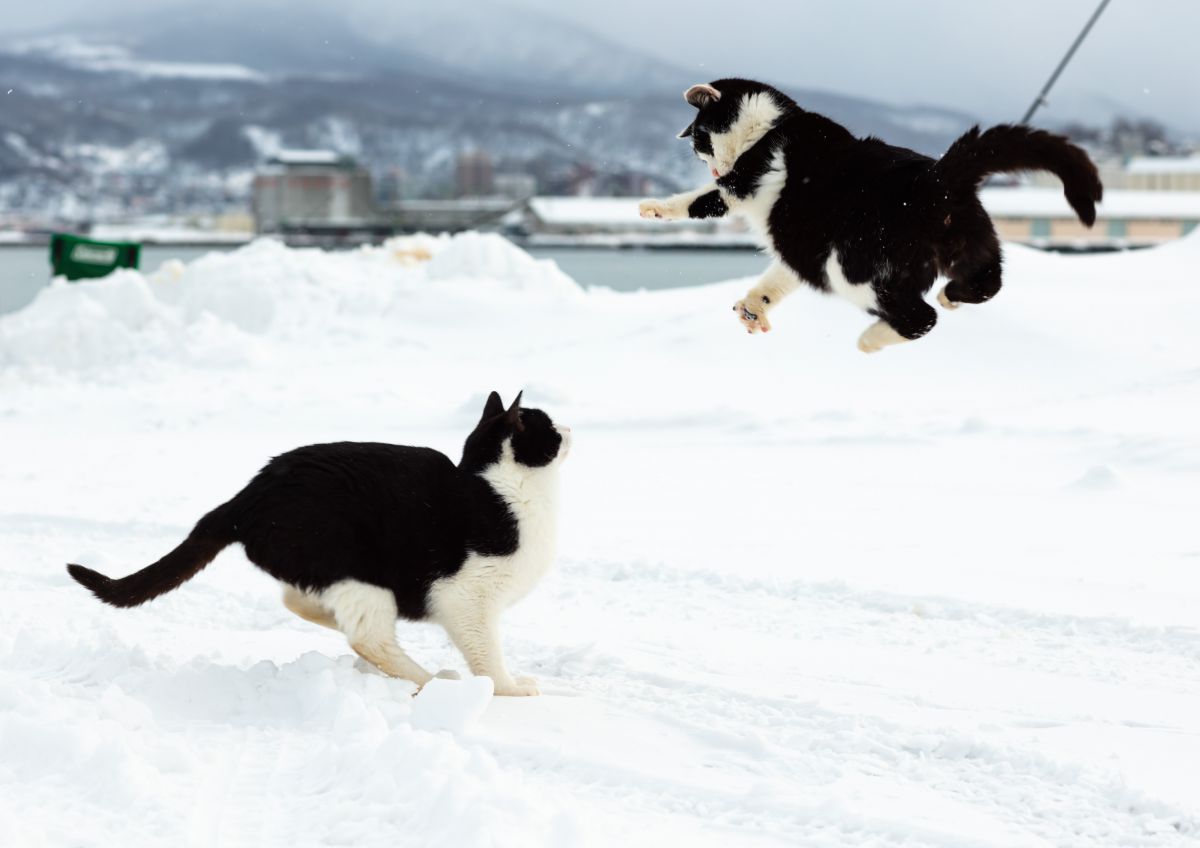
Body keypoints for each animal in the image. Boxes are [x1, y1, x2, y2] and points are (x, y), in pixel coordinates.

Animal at [68, 393, 568, 695]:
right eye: (547, 426)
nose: (568, 429)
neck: (496, 486)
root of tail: (246, 497)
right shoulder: (466, 600)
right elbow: (487, 654)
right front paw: (508, 688)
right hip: (358, 572)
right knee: (368, 638)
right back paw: (433, 679)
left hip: (330, 573)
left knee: (303, 604)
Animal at [643, 80, 1099, 355]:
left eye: (700, 143)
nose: (712, 167)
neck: (773, 125)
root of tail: (938, 178)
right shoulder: (800, 245)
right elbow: (778, 279)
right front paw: (755, 309)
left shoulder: (746, 181)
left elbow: (703, 200)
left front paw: (657, 207)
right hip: (970, 243)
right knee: (989, 281)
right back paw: (952, 295)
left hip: (852, 269)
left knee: (920, 318)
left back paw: (871, 340)